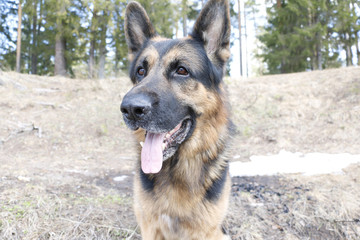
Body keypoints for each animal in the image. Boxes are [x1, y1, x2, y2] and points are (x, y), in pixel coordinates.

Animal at [121, 0, 232, 238]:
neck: (175, 170)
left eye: (182, 70)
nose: (131, 109)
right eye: (141, 71)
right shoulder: (150, 227)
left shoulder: (206, 231)